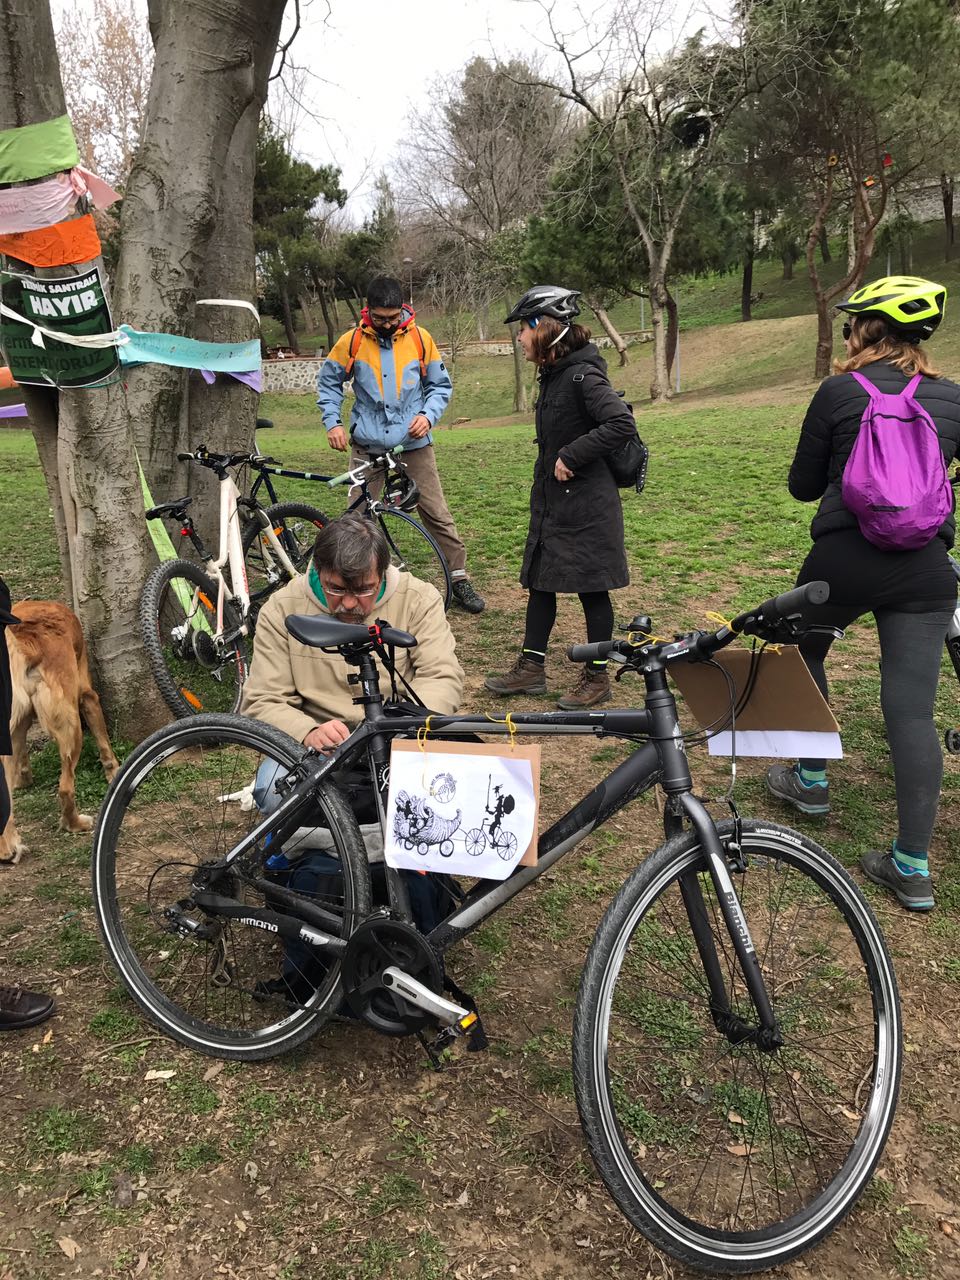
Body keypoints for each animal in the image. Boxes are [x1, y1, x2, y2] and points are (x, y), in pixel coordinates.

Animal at [0, 601, 119, 864]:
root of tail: (23, 638)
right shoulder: (87, 695)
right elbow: (104, 741)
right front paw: (114, 771)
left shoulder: (20, 726)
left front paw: (24, 778)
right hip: (70, 727)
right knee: (65, 787)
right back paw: (75, 824)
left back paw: (7, 848)